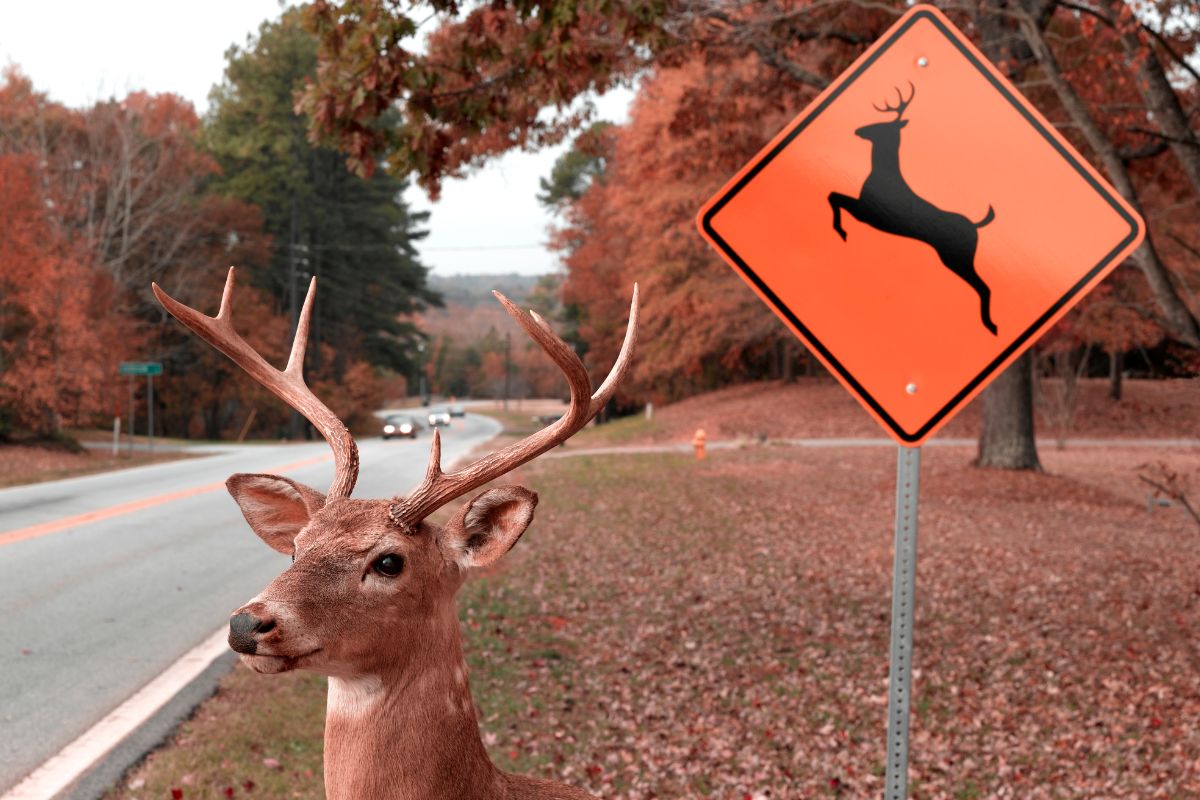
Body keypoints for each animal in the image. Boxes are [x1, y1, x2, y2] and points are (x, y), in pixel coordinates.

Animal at [830, 80, 998, 331]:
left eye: (881, 126)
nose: (858, 130)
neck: (882, 173)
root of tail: (976, 227)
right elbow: (834, 196)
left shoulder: (867, 212)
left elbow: (833, 196)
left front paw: (841, 231)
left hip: (958, 257)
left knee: (983, 287)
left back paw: (991, 326)